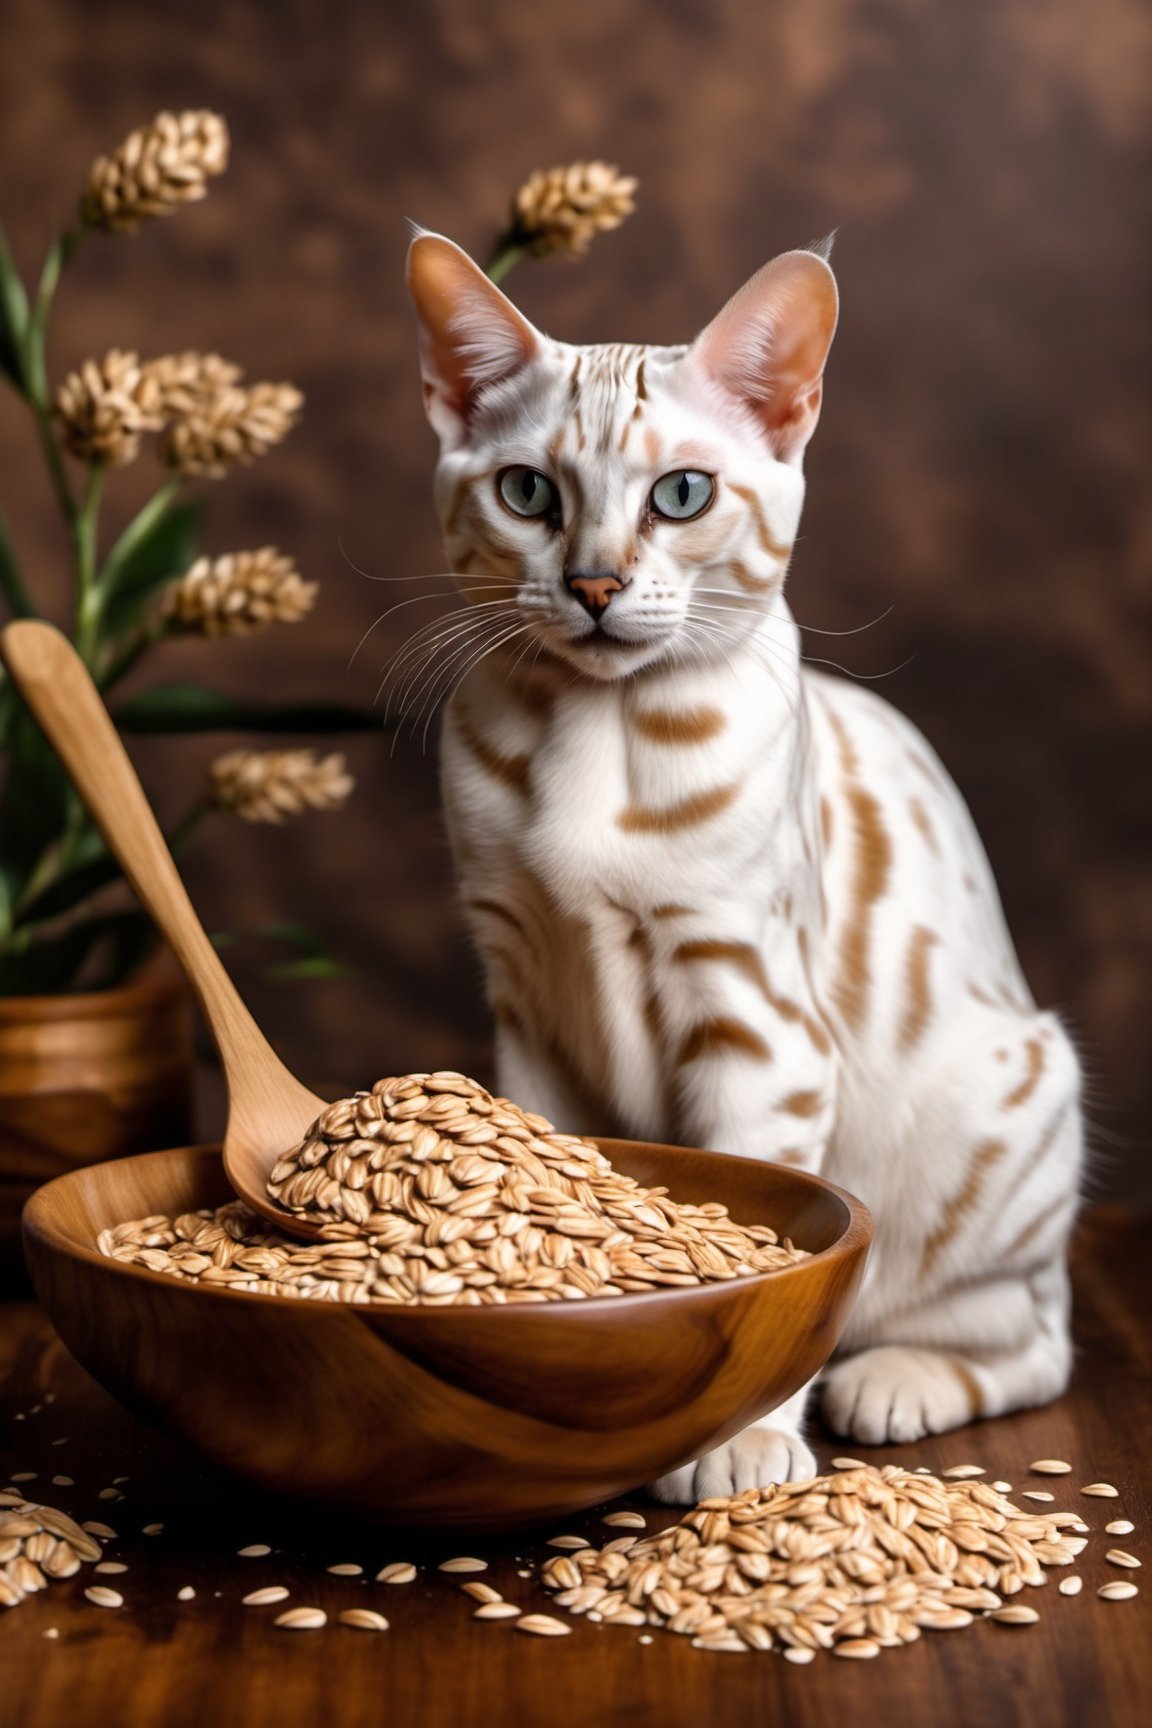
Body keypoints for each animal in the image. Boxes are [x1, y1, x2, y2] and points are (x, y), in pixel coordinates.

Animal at [404, 229, 1084, 1499]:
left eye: (682, 495)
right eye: (529, 493)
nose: (597, 585)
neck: (593, 734)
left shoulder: (752, 1010)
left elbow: (760, 1240)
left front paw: (737, 1444)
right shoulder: (527, 1000)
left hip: (1006, 1110)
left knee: (1030, 1339)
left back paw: (894, 1385)